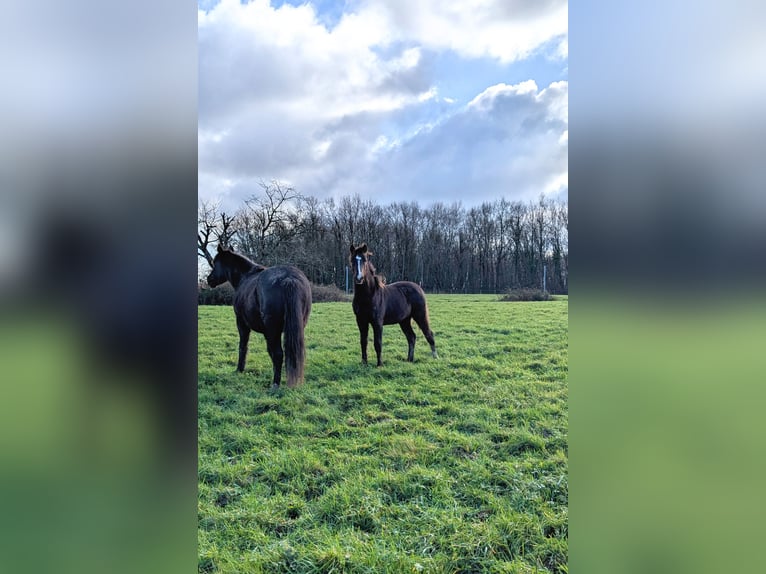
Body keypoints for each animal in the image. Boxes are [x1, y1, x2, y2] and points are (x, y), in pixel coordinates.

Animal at [207, 245, 312, 390]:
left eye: (215, 263)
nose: (209, 279)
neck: (245, 277)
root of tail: (289, 279)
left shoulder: (242, 323)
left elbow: (243, 346)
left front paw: (239, 369)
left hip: (272, 331)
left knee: (278, 354)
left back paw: (275, 384)